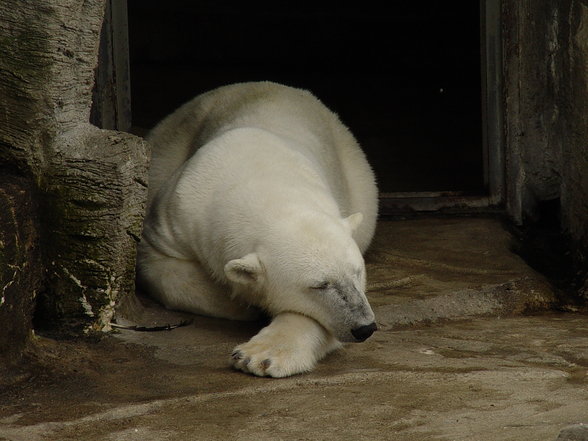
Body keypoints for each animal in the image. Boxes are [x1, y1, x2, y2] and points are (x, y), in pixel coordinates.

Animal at [136, 81, 378, 376]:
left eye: (357, 272)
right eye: (319, 285)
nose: (364, 327)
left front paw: (259, 355)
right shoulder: (178, 210)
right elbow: (160, 266)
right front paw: (245, 305)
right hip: (168, 145)